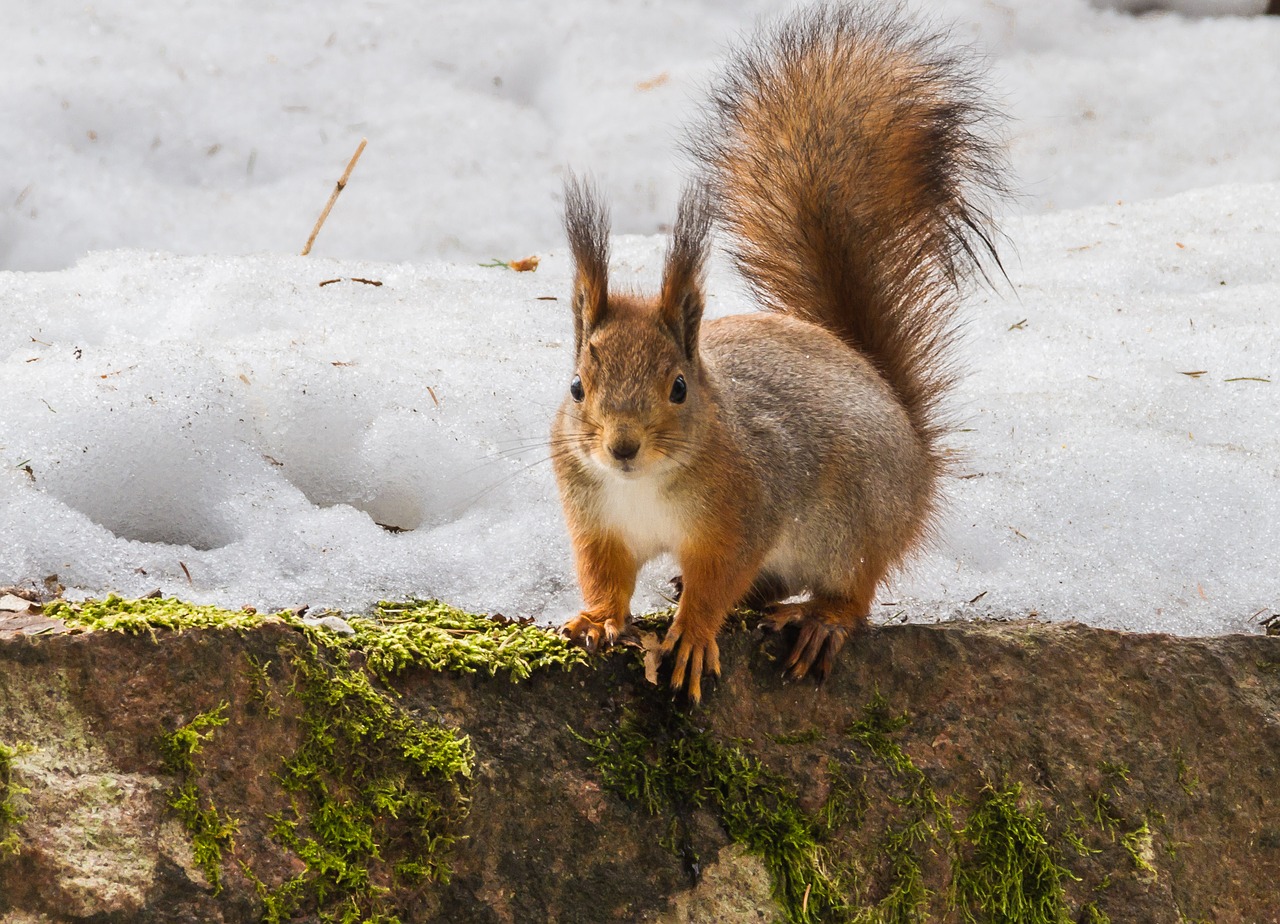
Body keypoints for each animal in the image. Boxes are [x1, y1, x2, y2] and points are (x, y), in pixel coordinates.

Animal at [550, 5, 1008, 696]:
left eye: (678, 387)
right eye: (577, 387)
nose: (622, 447)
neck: (644, 485)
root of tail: (919, 468)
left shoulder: (743, 515)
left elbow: (717, 583)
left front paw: (692, 634)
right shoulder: (596, 521)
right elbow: (605, 576)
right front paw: (599, 619)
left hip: (854, 520)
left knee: (853, 591)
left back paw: (820, 619)